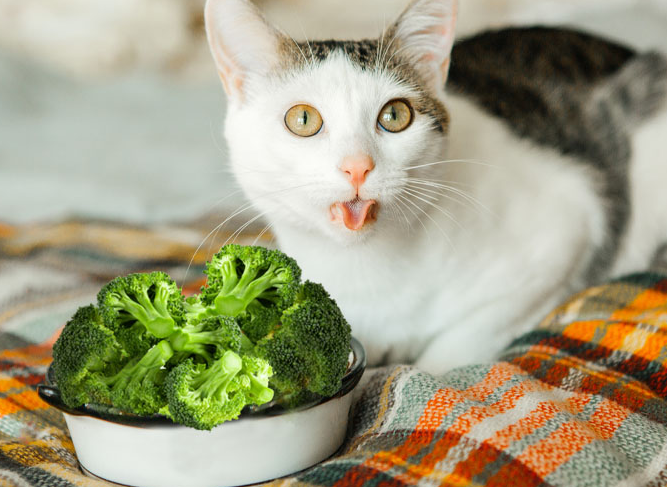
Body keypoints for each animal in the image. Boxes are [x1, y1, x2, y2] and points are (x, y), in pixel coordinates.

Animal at [204, 0, 667, 376]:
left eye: (394, 115)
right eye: (302, 119)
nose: (357, 167)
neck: (368, 268)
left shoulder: (568, 230)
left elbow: (460, 342)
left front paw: (428, 367)